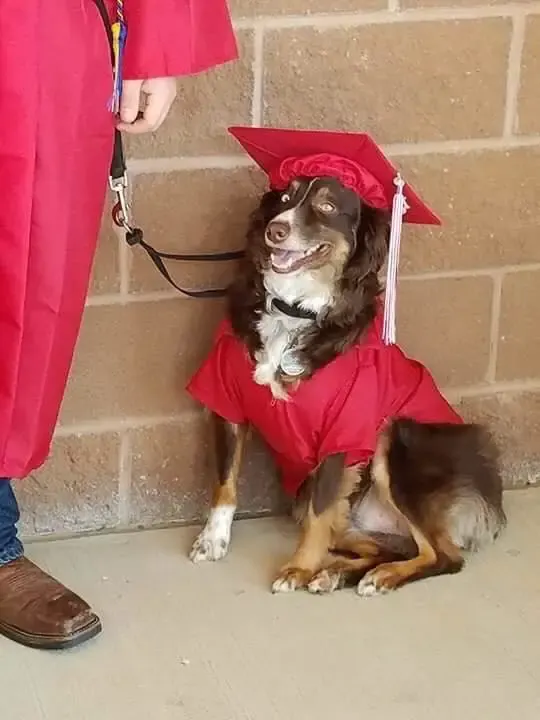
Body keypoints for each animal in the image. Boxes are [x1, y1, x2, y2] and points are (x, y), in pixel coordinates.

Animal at [187, 176, 506, 596]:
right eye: (285, 198)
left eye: (326, 207)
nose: (276, 229)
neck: (294, 311)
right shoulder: (227, 401)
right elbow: (224, 482)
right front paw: (213, 539)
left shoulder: (344, 427)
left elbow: (319, 513)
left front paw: (298, 568)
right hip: (332, 508)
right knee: (391, 546)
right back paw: (337, 572)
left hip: (397, 439)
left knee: (443, 555)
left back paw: (377, 576)